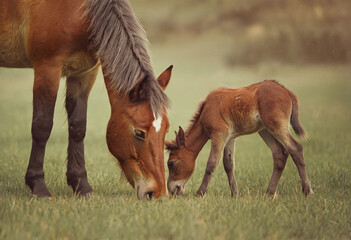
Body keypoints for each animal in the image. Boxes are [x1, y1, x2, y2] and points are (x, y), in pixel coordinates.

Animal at [166, 80, 314, 197]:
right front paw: (235, 193)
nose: (171, 190)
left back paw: (307, 191)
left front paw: (200, 193)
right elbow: (228, 164)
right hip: (265, 130)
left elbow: (211, 163)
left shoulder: (219, 134)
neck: (205, 112)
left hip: (275, 125)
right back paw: (270, 193)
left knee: (295, 148)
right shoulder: (230, 137)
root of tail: (285, 90)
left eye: (171, 163)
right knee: (280, 153)